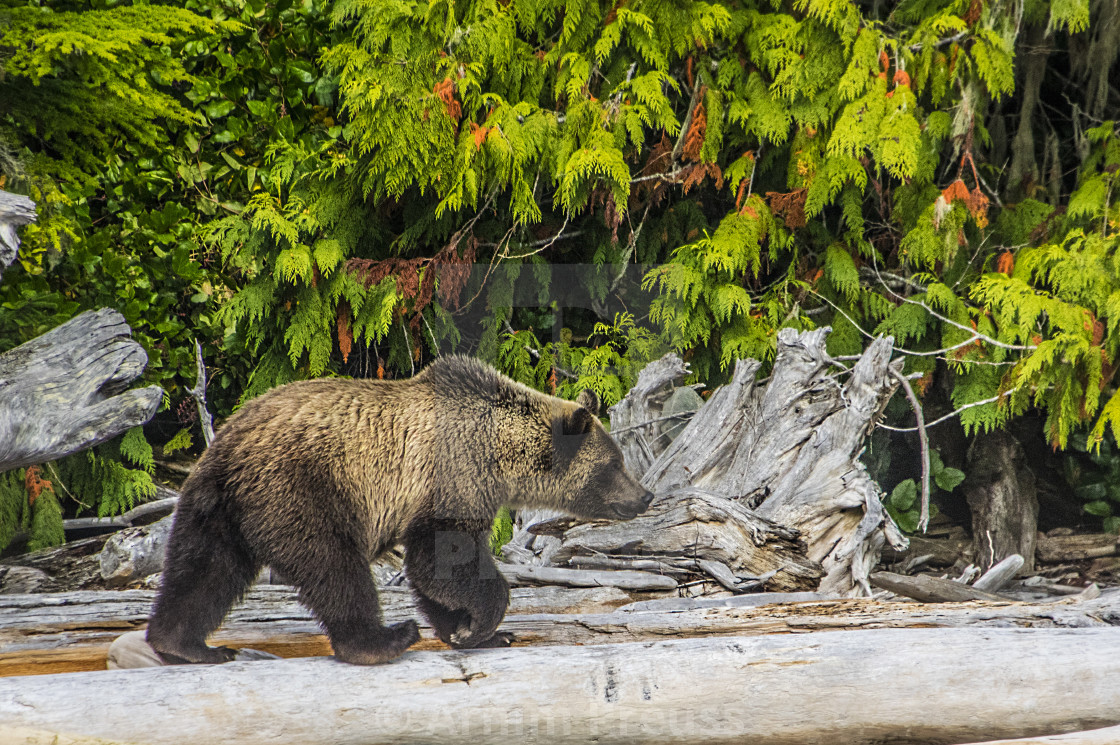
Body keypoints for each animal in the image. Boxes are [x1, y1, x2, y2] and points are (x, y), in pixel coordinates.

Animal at [148, 354, 654, 663]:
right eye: (614, 463)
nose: (644, 496)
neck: (498, 451)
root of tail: (228, 443)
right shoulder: (452, 476)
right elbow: (443, 560)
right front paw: (482, 624)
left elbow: (434, 572)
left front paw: (473, 631)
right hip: (302, 488)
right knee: (333, 567)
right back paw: (383, 639)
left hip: (217, 503)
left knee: (204, 569)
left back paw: (187, 644)